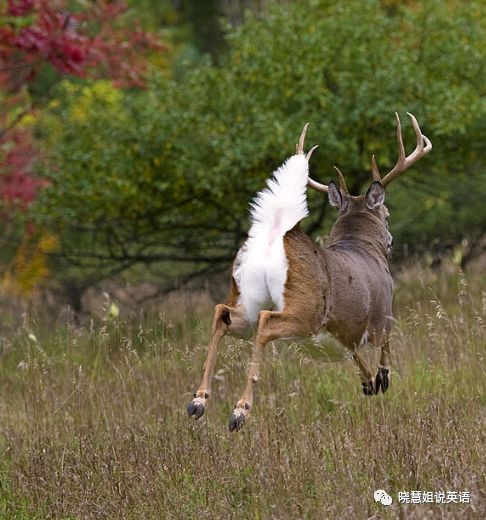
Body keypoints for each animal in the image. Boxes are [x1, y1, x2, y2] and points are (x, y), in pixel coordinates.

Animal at [187, 112, 432, 430]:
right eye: (387, 215)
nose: (391, 241)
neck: (361, 246)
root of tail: (276, 237)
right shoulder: (383, 313)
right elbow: (384, 347)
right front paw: (382, 378)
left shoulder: (346, 332)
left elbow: (353, 351)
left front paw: (368, 382)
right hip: (307, 308)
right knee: (266, 322)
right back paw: (240, 410)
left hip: (247, 294)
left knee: (223, 314)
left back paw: (198, 400)